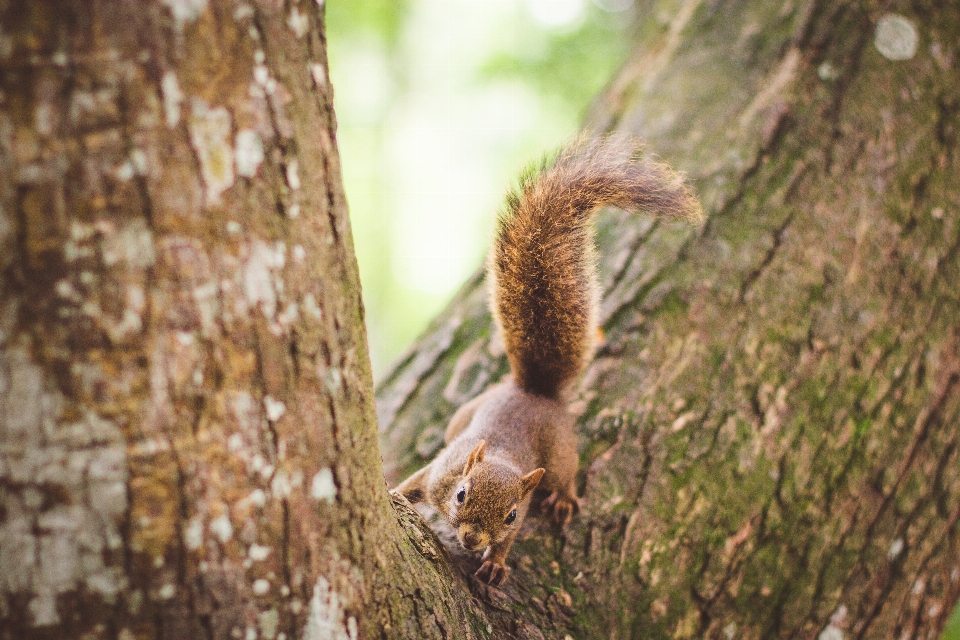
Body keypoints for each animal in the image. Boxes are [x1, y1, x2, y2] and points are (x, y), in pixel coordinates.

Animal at [394, 138, 700, 588]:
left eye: (510, 515)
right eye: (461, 494)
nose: (471, 540)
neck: (498, 457)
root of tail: (535, 391)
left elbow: (507, 543)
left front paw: (496, 561)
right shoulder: (441, 472)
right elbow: (415, 482)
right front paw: (394, 493)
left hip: (559, 455)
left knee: (567, 473)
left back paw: (565, 498)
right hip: (464, 417)